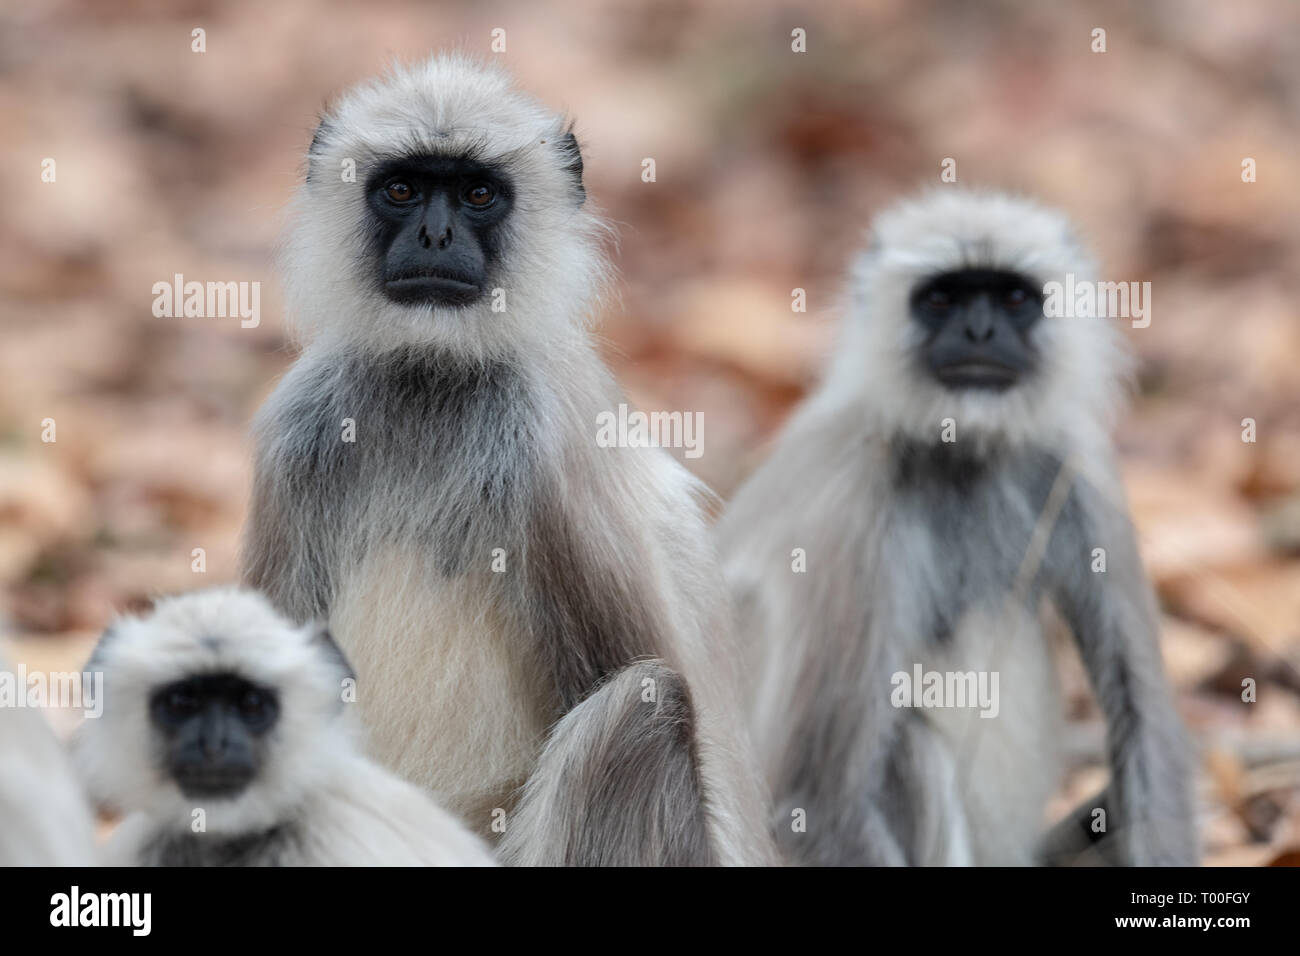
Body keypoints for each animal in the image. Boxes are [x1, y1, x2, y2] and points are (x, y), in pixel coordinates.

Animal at [241, 55, 769, 868]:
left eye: (477, 193)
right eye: (402, 189)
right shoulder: (298, 427)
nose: (434, 234)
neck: (432, 383)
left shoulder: (549, 442)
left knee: (645, 709)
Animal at [722, 191, 1196, 868]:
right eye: (942, 298)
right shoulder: (852, 507)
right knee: (907, 748)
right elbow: (818, 801)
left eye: (1014, 297)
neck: (962, 452)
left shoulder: (1078, 466)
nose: (978, 333)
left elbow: (1145, 722)